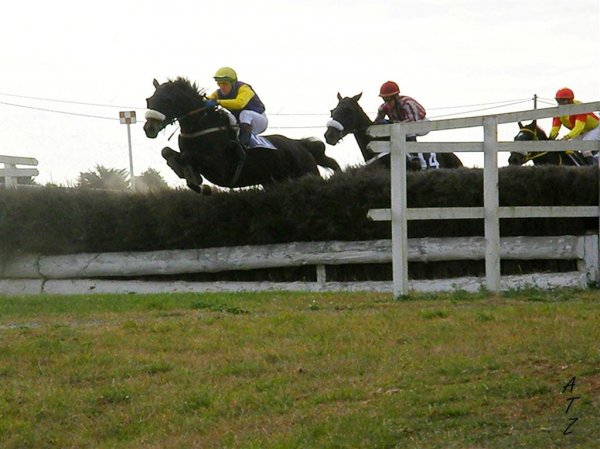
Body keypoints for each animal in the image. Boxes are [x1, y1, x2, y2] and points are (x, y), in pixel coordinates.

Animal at [144, 77, 340, 192]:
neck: (201, 126)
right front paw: (182, 171)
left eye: (166, 100)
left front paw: (196, 180)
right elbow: (167, 152)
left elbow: (187, 156)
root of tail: (299, 144)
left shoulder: (219, 167)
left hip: (307, 172)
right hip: (273, 182)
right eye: (149, 100)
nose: (149, 128)